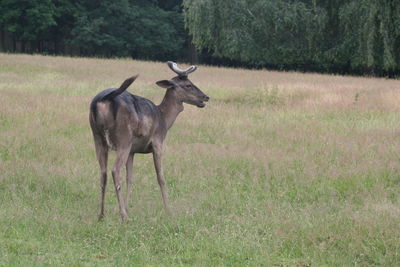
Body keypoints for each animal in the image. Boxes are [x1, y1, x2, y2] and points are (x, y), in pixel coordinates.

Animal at [89, 61, 209, 221]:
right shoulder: (158, 142)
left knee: (103, 173)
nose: (206, 97)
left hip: (97, 137)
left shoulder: (133, 151)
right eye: (188, 85)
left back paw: (102, 215)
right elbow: (160, 177)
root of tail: (104, 99)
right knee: (115, 170)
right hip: (123, 138)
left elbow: (130, 178)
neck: (164, 119)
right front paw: (168, 210)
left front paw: (127, 207)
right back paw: (124, 217)